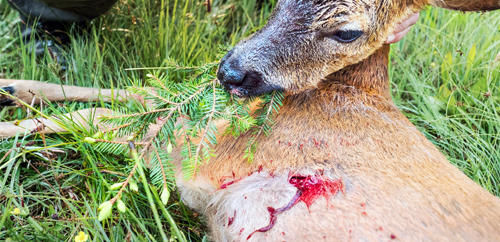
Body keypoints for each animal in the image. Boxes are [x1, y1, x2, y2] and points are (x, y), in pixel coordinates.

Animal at [2, 0, 500, 241]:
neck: (350, 87)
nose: (230, 73)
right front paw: (12, 86)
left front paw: (9, 129)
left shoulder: (203, 156)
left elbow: (100, 115)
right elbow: (130, 94)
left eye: (347, 32)